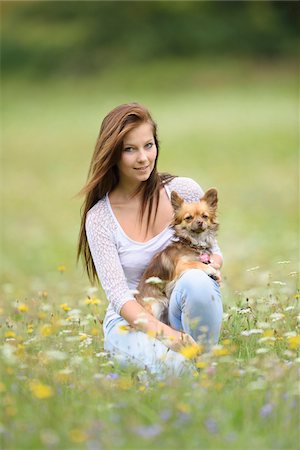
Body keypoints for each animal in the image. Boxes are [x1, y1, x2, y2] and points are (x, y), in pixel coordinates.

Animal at [135, 187, 218, 324]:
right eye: (188, 218)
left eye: (205, 216)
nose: (200, 222)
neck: (194, 244)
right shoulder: (181, 265)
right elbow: (196, 263)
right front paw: (212, 271)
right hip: (155, 305)